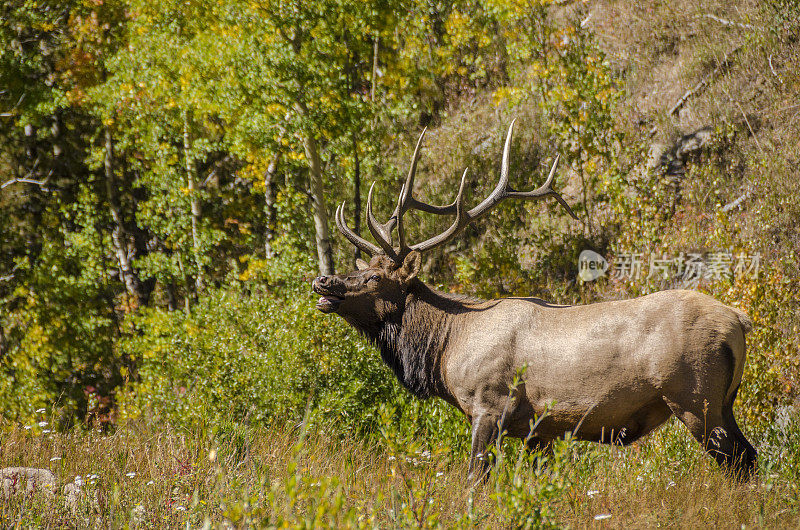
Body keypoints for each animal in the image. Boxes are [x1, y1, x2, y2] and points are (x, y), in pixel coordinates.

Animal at [312, 121, 756, 480]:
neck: (444, 348)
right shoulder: (540, 430)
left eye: (374, 277)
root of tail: (739, 321)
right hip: (725, 401)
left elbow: (475, 479)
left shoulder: (490, 405)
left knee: (740, 460)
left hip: (694, 396)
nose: (323, 281)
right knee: (750, 456)